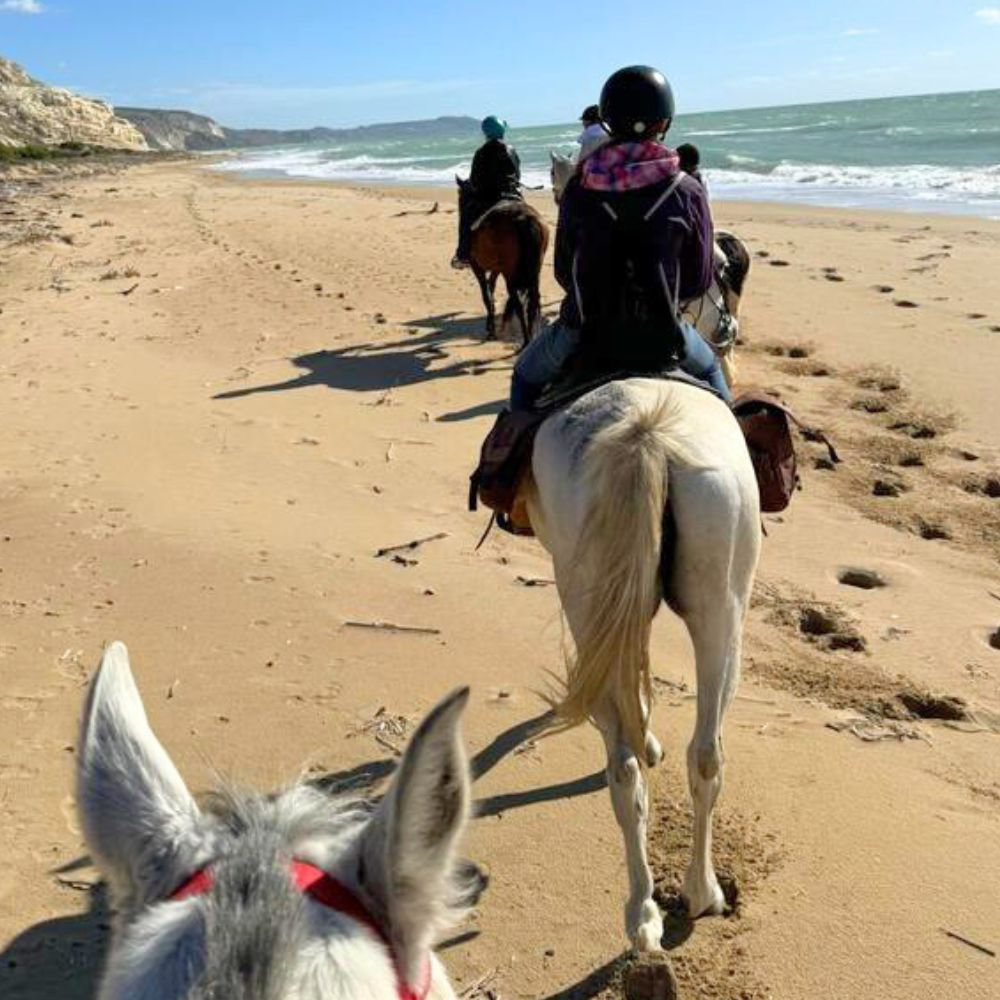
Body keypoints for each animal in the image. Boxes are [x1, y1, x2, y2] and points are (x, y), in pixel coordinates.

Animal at [455, 177, 549, 349]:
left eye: (461, 198)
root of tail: (525, 219)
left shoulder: (477, 266)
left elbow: (486, 295)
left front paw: (491, 330)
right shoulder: (496, 269)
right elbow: (491, 288)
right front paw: (490, 325)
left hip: (510, 273)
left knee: (518, 302)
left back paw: (526, 341)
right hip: (534, 272)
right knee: (532, 301)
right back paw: (530, 338)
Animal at [525, 377, 761, 952]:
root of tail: (645, 433)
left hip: (593, 598)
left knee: (633, 760)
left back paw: (649, 909)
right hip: (722, 608)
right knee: (699, 754)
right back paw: (690, 896)